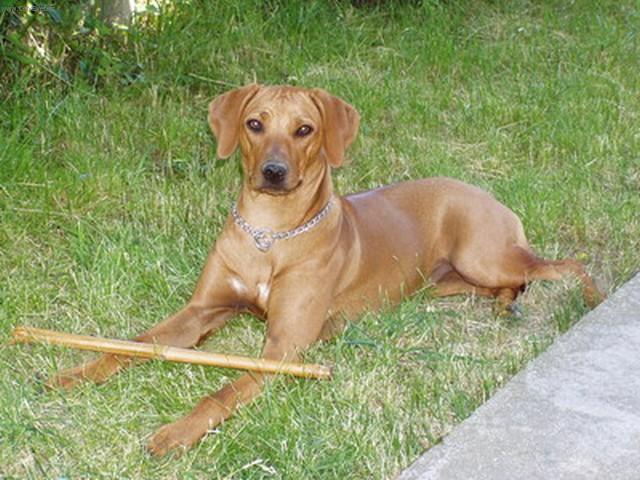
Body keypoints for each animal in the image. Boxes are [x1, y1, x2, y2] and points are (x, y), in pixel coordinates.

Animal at [47, 84, 604, 456]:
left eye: (304, 130)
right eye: (255, 124)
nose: (273, 173)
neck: (270, 235)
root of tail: (485, 193)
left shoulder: (284, 349)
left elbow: (220, 391)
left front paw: (176, 432)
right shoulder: (202, 310)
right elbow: (134, 344)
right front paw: (76, 373)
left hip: (483, 255)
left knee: (564, 265)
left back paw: (590, 301)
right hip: (448, 281)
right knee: (510, 283)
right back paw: (506, 304)